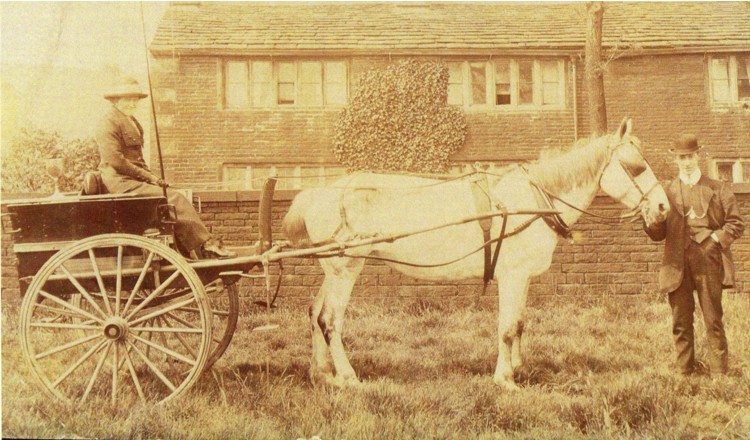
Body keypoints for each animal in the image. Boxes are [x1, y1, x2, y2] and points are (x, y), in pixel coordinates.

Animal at [284, 117, 672, 388]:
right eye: (635, 166)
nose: (663, 208)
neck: (531, 200)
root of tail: (320, 192)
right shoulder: (511, 276)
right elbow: (506, 327)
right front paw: (504, 379)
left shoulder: (523, 278)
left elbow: (519, 323)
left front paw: (517, 367)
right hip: (346, 269)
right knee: (330, 320)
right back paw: (348, 377)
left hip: (333, 271)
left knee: (315, 314)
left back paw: (324, 374)